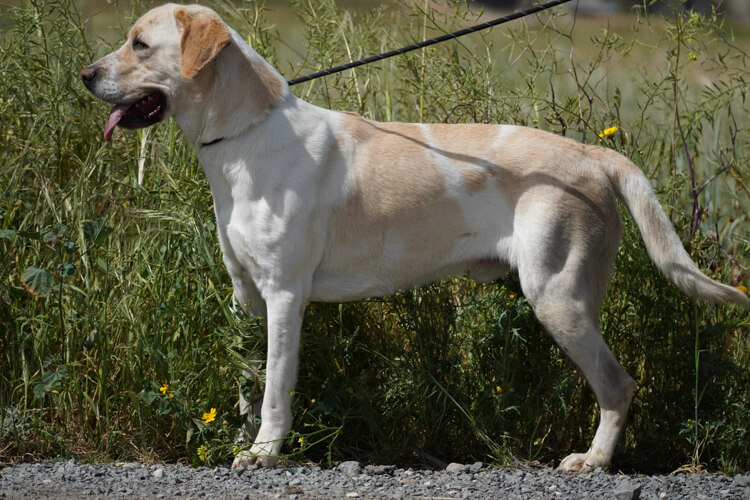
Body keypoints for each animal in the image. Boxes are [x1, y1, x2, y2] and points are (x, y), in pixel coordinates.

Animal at [79, 2, 748, 472]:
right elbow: (246, 385)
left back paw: (595, 461)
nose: (84, 75)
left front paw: (267, 453)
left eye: (140, 44)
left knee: (618, 385)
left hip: (559, 297)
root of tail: (592, 153)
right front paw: (242, 443)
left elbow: (273, 388)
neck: (243, 137)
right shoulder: (247, 296)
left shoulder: (285, 297)